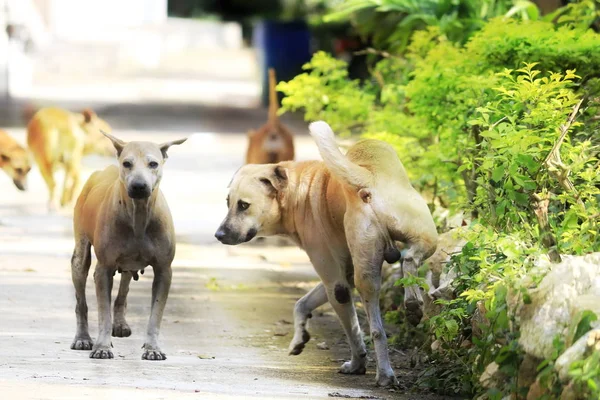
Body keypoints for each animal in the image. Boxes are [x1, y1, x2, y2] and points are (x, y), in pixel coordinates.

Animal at [69, 133, 185, 360]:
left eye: (153, 164)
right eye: (127, 163)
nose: (139, 185)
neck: (138, 215)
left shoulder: (164, 270)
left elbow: (156, 314)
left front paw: (152, 348)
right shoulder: (104, 268)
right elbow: (103, 312)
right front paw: (102, 346)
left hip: (128, 263)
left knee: (123, 289)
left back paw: (120, 323)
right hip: (81, 253)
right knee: (81, 299)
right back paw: (83, 337)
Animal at [216, 120, 436, 386]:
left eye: (243, 205)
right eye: (227, 202)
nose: (218, 234)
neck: (296, 188)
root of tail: (370, 177)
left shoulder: (335, 283)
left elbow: (353, 331)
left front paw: (357, 364)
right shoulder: (341, 276)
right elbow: (302, 303)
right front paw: (299, 337)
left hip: (365, 278)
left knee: (376, 329)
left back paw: (384, 373)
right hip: (426, 239)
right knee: (410, 259)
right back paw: (413, 304)